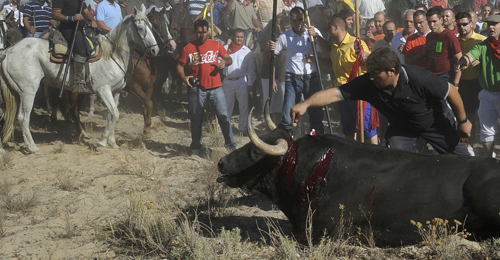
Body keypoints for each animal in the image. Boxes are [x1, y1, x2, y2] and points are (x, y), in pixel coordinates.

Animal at [0, 7, 158, 154]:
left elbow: (112, 115)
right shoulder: (103, 90)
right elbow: (115, 114)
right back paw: (33, 147)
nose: (155, 50)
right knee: (23, 117)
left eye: (151, 26)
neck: (112, 54)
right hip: (28, 91)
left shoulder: (116, 91)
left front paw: (112, 143)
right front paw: (102, 141)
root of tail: (9, 51)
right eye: (140, 28)